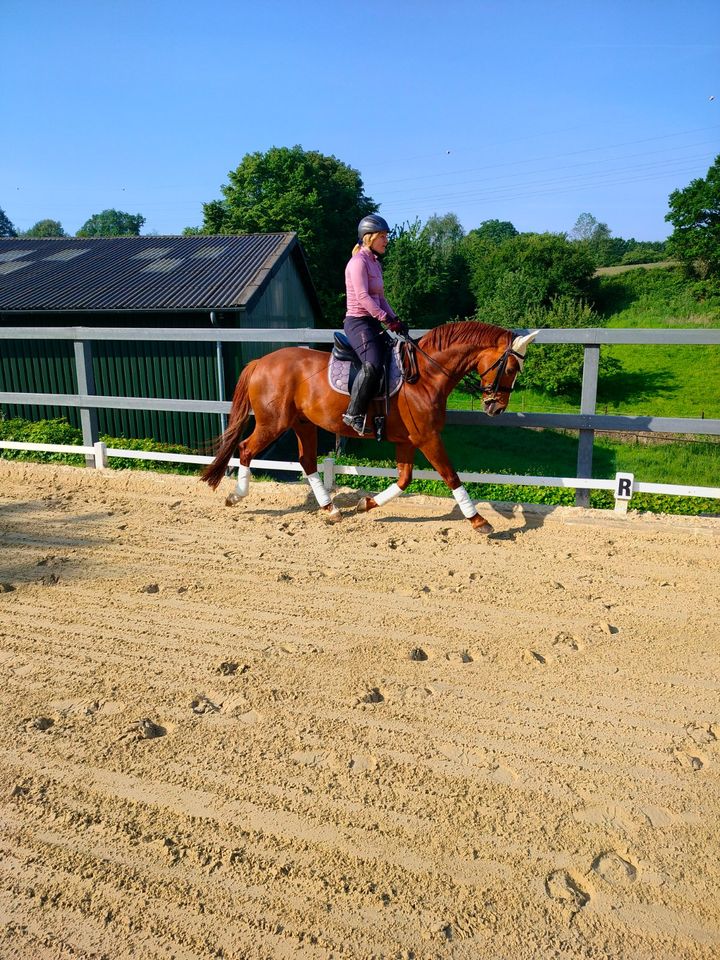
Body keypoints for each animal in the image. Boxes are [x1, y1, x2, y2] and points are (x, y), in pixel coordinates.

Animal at [200, 320, 536, 532]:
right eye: (510, 367)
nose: (496, 407)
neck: (426, 374)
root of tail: (260, 361)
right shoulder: (427, 437)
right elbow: (451, 476)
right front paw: (479, 521)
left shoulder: (407, 440)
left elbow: (404, 480)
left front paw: (366, 504)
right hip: (273, 422)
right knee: (245, 448)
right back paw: (236, 496)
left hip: (303, 423)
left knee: (307, 461)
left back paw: (331, 510)